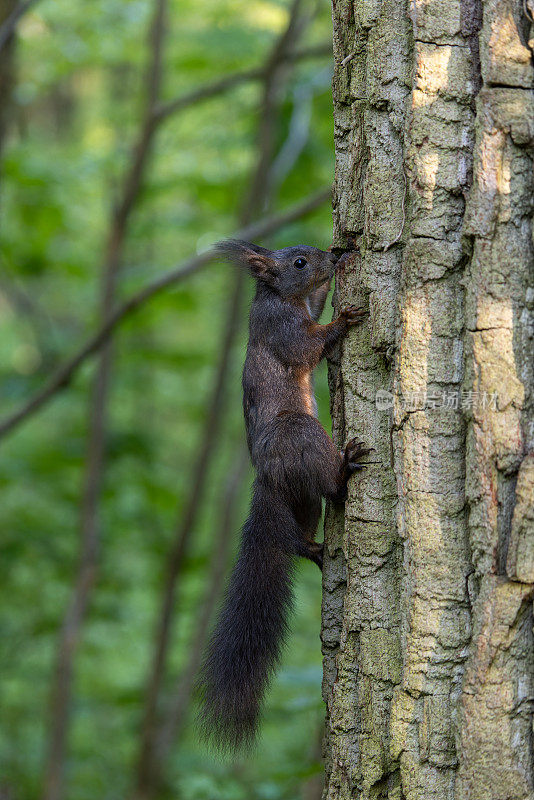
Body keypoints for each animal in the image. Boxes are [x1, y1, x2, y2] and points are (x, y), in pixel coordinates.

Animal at [199, 241, 370, 752]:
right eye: (298, 262)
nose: (331, 255)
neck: (275, 297)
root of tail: (268, 480)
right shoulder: (282, 328)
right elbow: (307, 345)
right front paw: (344, 318)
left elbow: (314, 306)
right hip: (301, 434)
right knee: (329, 487)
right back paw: (345, 467)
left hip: (302, 500)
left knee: (298, 534)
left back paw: (314, 548)